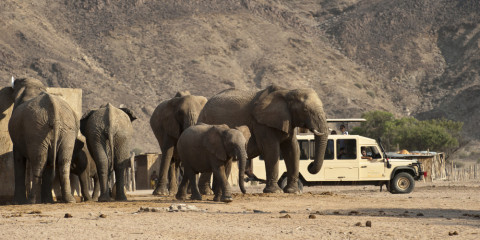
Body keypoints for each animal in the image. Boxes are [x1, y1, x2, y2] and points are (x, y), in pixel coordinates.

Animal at [197, 84, 328, 193]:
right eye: (305, 110)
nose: (310, 166)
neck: (287, 92)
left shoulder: (287, 121)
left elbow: (293, 150)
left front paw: (293, 191)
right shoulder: (261, 124)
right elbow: (272, 150)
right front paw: (274, 192)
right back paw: (207, 193)